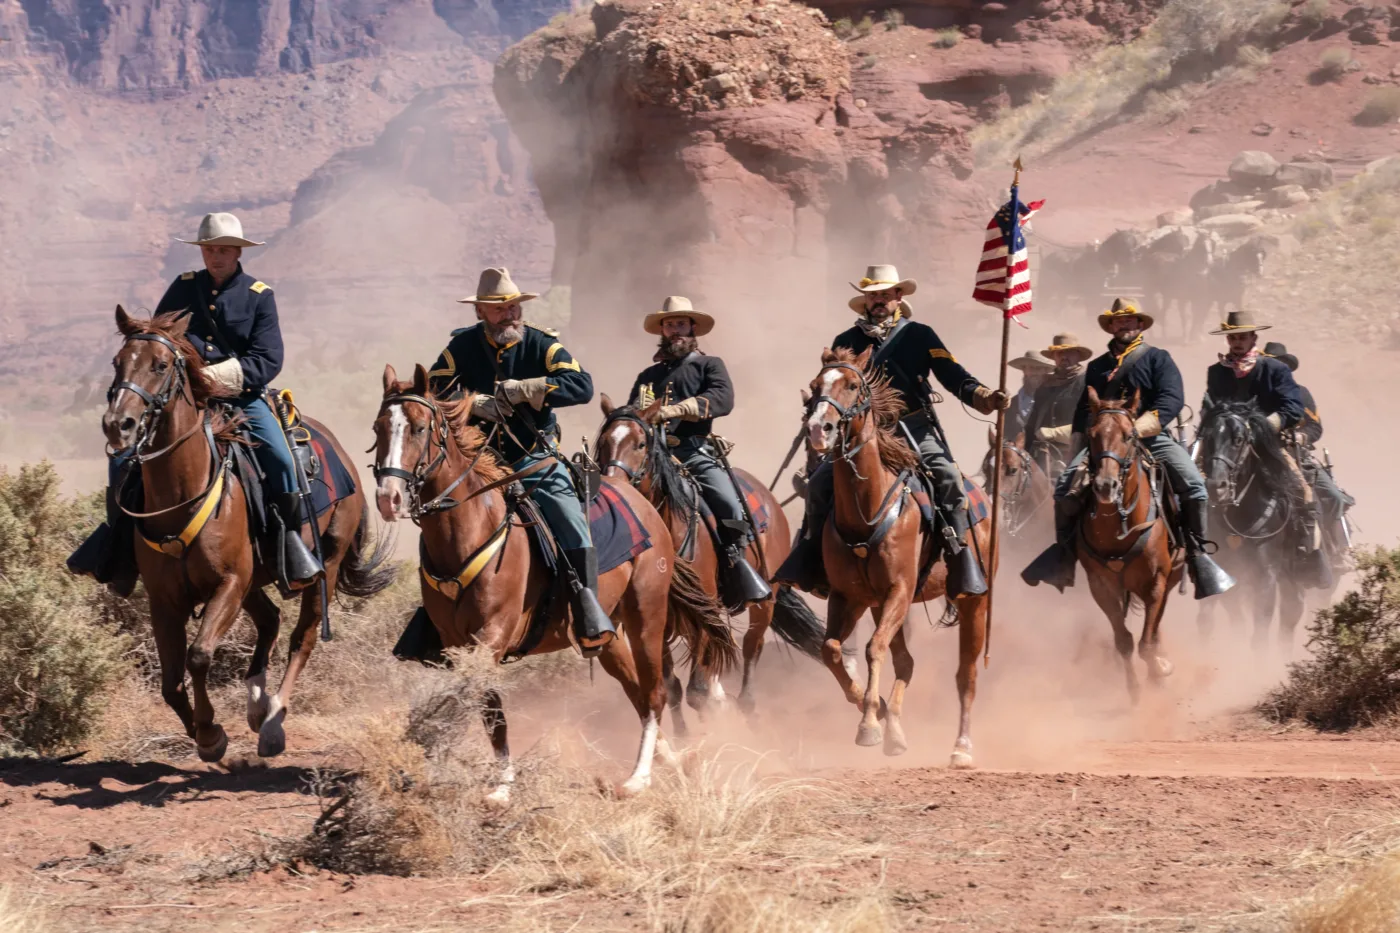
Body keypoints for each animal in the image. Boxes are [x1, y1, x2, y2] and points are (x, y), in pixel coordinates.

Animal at [101, 308, 394, 762]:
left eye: (161, 365)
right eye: (118, 362)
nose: (119, 425)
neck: (182, 495)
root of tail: (340, 453)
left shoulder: (228, 584)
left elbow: (199, 656)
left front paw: (210, 734)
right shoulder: (164, 598)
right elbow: (170, 684)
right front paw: (202, 731)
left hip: (319, 567)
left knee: (302, 638)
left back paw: (273, 722)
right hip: (255, 579)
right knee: (271, 620)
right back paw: (257, 704)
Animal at [378, 361, 739, 790]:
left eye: (418, 428)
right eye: (379, 428)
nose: (388, 497)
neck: (471, 529)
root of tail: (645, 506)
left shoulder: (492, 635)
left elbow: (481, 705)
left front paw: (498, 785)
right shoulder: (456, 642)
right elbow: (487, 708)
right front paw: (495, 780)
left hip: (647, 619)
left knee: (655, 693)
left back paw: (639, 777)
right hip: (609, 635)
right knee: (636, 691)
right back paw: (672, 759)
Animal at [588, 389, 817, 717]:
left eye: (641, 444)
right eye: (604, 442)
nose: (615, 486)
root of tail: (769, 499)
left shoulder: (703, 611)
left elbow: (697, 691)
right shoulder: (659, 620)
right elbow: (672, 689)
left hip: (765, 599)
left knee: (752, 647)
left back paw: (745, 704)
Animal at [800, 344, 996, 767]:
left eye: (852, 384)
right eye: (815, 385)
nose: (819, 429)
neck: (866, 510)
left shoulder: (900, 591)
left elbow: (873, 648)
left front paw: (870, 725)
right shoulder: (850, 597)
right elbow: (832, 649)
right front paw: (869, 708)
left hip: (974, 602)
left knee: (967, 675)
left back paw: (961, 747)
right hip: (879, 605)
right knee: (905, 661)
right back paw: (895, 728)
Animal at [1075, 383, 1187, 697]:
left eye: (1129, 435)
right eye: (1092, 434)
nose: (1105, 486)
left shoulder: (1156, 582)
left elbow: (1146, 643)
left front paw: (1161, 669)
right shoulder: (1101, 587)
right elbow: (1124, 641)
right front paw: (1134, 690)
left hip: (1171, 578)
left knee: (1156, 626)